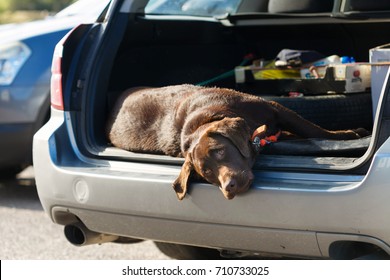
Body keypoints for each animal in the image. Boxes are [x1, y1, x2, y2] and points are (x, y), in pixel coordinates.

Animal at [107, 84, 368, 200]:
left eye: (220, 151)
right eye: (206, 173)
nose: (228, 187)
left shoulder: (275, 108)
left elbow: (311, 128)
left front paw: (347, 134)